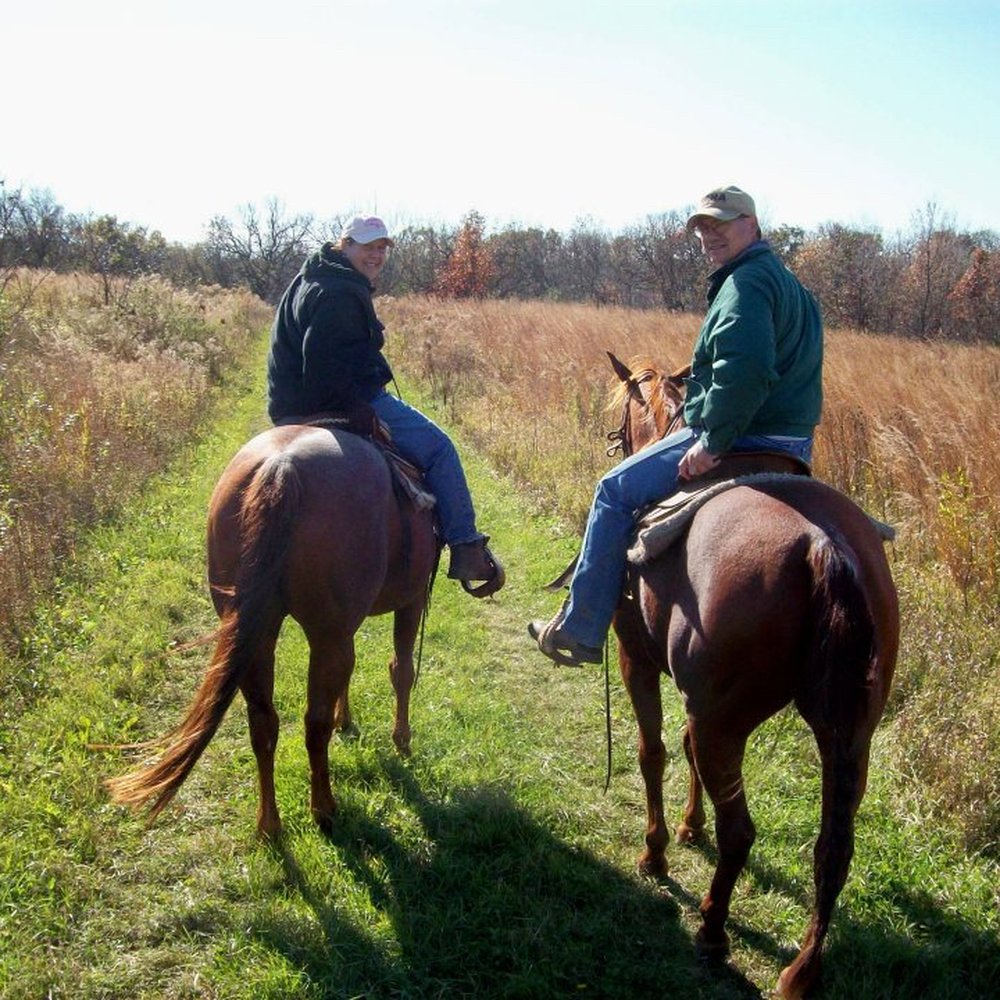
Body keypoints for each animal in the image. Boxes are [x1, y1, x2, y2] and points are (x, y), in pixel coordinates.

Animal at [107, 418, 440, 840]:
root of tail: (282, 468)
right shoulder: (410, 599)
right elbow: (402, 670)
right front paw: (402, 741)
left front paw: (347, 720)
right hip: (326, 632)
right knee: (314, 724)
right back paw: (324, 810)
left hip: (260, 634)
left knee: (263, 722)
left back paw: (269, 823)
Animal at [604, 356, 904, 996]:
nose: (614, 439)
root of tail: (825, 548)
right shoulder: (700, 702)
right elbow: (685, 750)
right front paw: (691, 828)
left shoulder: (636, 658)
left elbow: (653, 751)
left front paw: (657, 852)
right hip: (850, 734)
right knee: (833, 848)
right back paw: (800, 973)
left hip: (729, 720)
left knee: (742, 832)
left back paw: (712, 932)